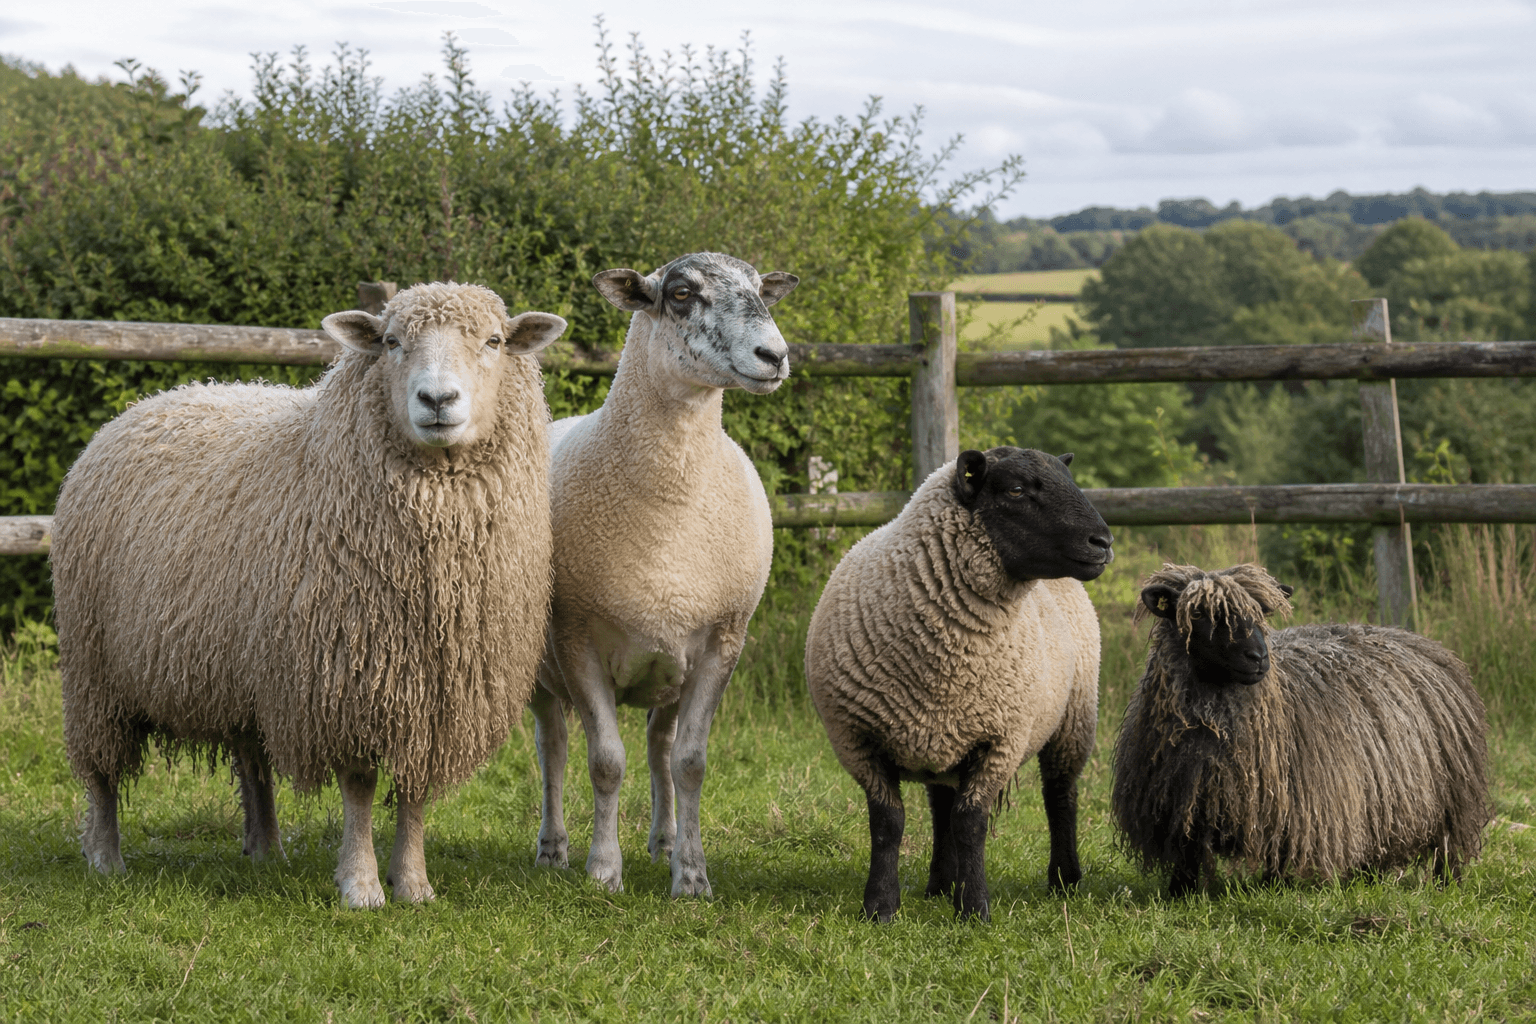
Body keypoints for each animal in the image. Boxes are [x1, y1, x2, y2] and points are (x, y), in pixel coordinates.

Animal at [51, 282, 567, 908]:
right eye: (390, 342)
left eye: (494, 341)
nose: (437, 399)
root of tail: (148, 403)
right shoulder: (345, 678)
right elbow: (360, 788)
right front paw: (362, 884)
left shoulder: (429, 693)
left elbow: (414, 793)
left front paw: (414, 883)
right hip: (94, 667)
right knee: (100, 770)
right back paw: (105, 856)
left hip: (241, 666)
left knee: (251, 760)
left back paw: (266, 849)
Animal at [529, 251, 798, 897]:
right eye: (680, 294)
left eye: (762, 290)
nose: (775, 356)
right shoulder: (576, 640)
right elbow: (604, 761)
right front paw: (603, 871)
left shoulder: (722, 641)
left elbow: (689, 763)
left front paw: (693, 877)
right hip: (537, 668)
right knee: (553, 747)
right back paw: (553, 848)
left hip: (670, 668)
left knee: (660, 748)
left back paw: (665, 842)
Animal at [804, 447, 1114, 922]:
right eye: (1016, 490)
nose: (1103, 543)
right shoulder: (856, 740)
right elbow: (889, 822)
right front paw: (880, 907)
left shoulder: (1000, 740)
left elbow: (971, 823)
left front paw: (974, 909)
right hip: (943, 738)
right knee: (941, 806)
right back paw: (939, 884)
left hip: (1073, 719)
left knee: (1060, 795)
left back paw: (1065, 880)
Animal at [1112, 563, 1490, 898]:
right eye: (1201, 614)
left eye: (1261, 614)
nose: (1258, 657)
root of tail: (1411, 637)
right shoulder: (1182, 806)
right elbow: (1187, 857)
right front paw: (1180, 894)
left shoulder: (1291, 807)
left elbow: (1278, 852)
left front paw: (1274, 888)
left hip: (1451, 797)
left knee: (1447, 848)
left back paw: (1446, 885)